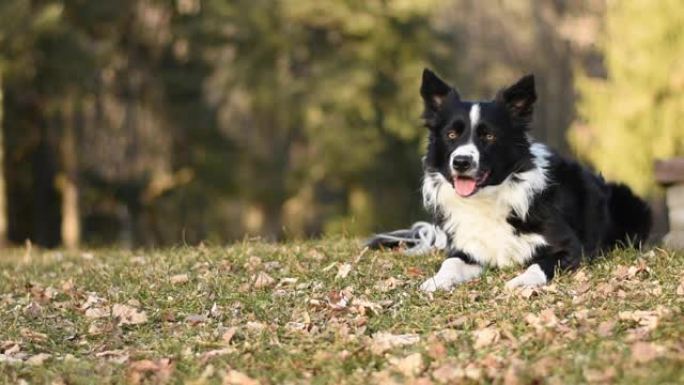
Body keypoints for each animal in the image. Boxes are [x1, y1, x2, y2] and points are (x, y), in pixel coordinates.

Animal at [368, 69, 652, 292]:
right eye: (451, 134)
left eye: (488, 136)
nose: (461, 162)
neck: (488, 197)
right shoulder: (466, 249)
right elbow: (450, 263)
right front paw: (436, 281)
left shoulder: (571, 247)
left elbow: (539, 264)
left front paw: (521, 281)